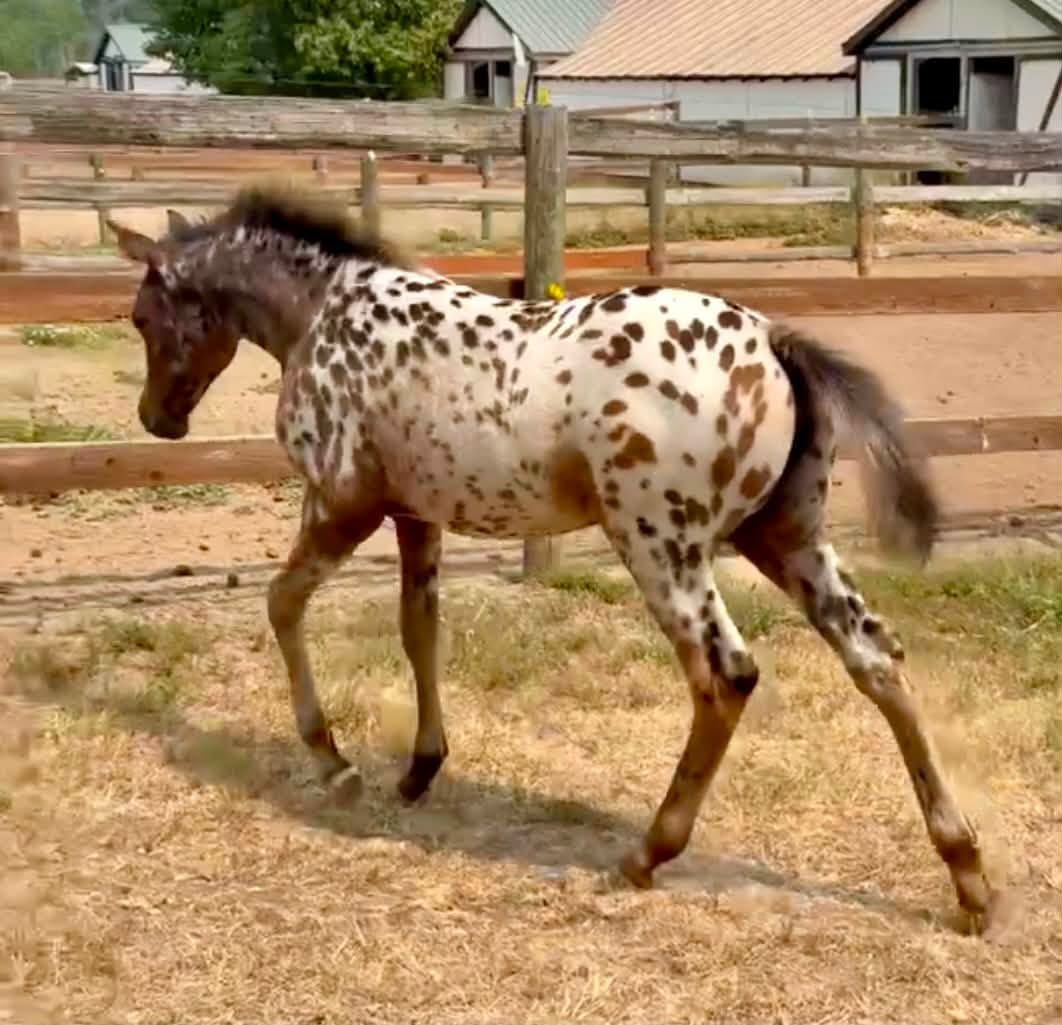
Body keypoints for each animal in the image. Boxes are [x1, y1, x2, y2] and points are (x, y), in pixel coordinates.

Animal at [107, 184, 1005, 933]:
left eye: (143, 318)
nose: (157, 419)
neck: (323, 310)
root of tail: (774, 339)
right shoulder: (415, 513)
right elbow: (418, 628)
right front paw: (419, 769)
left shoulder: (340, 500)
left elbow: (282, 601)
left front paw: (335, 763)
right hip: (785, 535)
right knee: (876, 656)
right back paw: (969, 878)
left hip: (661, 541)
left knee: (726, 674)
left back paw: (646, 852)